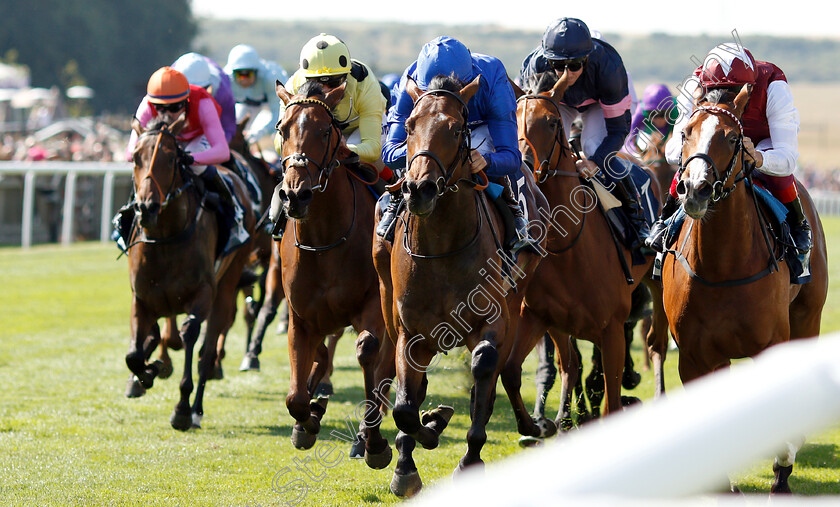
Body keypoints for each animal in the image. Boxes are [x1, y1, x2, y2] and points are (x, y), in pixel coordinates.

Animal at [124, 116, 254, 428]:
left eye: (172, 159)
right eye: (135, 157)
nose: (147, 207)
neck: (164, 238)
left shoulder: (202, 293)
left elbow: (190, 334)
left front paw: (181, 408)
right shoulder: (141, 297)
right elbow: (134, 354)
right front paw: (148, 372)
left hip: (228, 283)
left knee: (208, 350)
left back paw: (195, 409)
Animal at [272, 78, 398, 468]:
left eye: (325, 131)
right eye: (282, 129)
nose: (295, 195)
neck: (325, 239)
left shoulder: (373, 305)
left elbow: (368, 352)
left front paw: (374, 442)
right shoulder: (301, 317)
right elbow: (296, 395)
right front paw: (308, 420)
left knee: (385, 364)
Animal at [372, 75, 544, 500]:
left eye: (454, 129)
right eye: (410, 125)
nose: (419, 189)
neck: (441, 245)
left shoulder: (493, 319)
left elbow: (484, 366)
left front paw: (469, 457)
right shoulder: (410, 332)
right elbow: (404, 406)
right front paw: (414, 453)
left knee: (499, 371)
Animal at [498, 69, 668, 438]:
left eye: (550, 123)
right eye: (510, 120)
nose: (524, 167)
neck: (568, 249)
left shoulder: (612, 329)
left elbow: (611, 396)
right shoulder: (540, 319)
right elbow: (514, 370)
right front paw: (541, 425)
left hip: (657, 284)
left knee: (656, 343)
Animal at [660, 85, 832, 494]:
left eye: (732, 137)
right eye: (685, 133)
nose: (695, 189)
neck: (722, 266)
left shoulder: (773, 346)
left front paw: (782, 470)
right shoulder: (694, 357)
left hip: (808, 317)